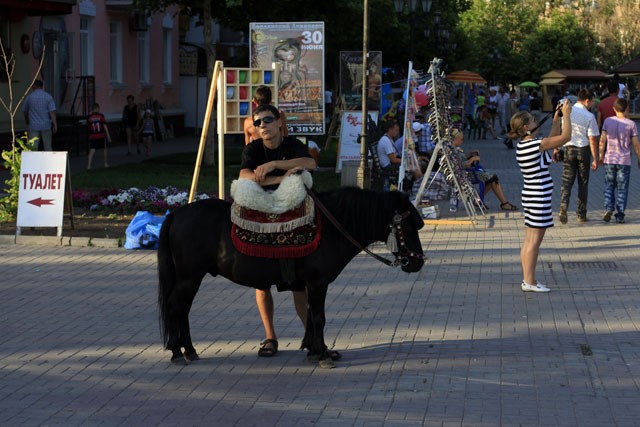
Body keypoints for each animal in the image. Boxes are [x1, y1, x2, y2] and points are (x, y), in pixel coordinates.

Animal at [158, 187, 424, 368]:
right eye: (409, 225)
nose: (418, 262)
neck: (332, 229)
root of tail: (176, 214)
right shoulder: (318, 283)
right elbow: (318, 318)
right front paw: (322, 354)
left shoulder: (310, 284)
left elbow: (310, 316)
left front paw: (315, 350)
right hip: (189, 277)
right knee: (174, 307)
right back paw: (176, 352)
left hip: (191, 278)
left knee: (183, 310)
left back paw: (190, 349)